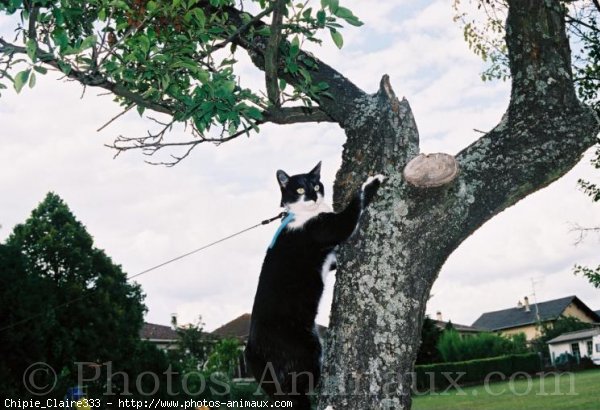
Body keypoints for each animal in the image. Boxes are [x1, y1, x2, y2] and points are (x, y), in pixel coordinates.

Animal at [245, 162, 382, 408]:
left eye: (316, 185)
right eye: (300, 189)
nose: (313, 195)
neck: (303, 214)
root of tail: (252, 352)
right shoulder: (328, 227)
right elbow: (352, 209)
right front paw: (373, 181)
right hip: (307, 352)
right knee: (302, 393)